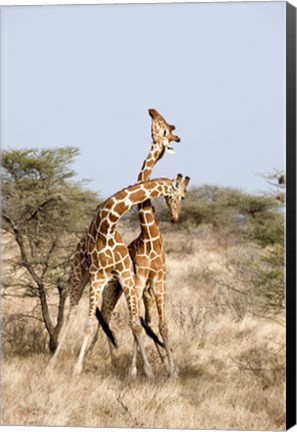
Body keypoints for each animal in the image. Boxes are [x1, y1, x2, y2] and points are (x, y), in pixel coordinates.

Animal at [53, 174, 187, 376]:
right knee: (73, 314)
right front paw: (77, 368)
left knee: (106, 319)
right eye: (182, 195)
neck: (107, 225)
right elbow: (89, 324)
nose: (175, 218)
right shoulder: (98, 276)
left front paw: (148, 370)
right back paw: (52, 364)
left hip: (113, 286)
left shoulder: (126, 276)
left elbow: (136, 324)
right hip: (79, 275)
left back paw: (114, 364)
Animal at [97, 109, 188, 378]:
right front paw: (136, 370)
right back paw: (114, 363)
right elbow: (135, 323)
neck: (148, 237)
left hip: (141, 290)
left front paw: (171, 370)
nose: (151, 110)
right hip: (114, 289)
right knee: (108, 318)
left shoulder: (158, 280)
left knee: (144, 321)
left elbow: (162, 325)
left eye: (166, 127)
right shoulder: (139, 281)